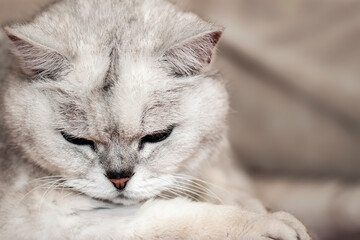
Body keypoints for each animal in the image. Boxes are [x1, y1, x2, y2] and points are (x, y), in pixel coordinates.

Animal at [0, 0, 310, 239]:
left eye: (157, 136)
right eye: (75, 140)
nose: (119, 180)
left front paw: (250, 203)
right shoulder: (58, 221)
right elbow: (176, 218)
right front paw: (264, 222)